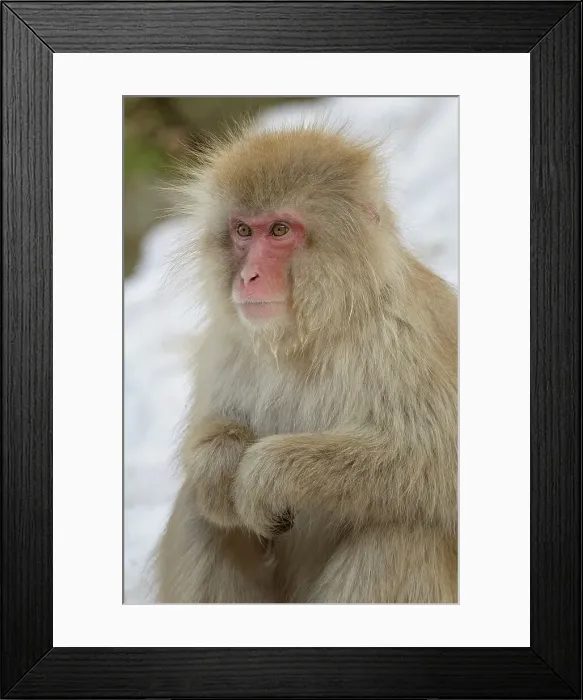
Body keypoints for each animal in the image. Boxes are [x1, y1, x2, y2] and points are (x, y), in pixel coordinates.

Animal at [154, 123, 458, 604]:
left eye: (280, 230)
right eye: (243, 231)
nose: (248, 276)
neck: (309, 334)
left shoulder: (406, 336)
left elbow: (441, 459)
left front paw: (267, 474)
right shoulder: (227, 345)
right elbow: (208, 442)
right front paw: (221, 463)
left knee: (401, 530)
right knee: (198, 513)